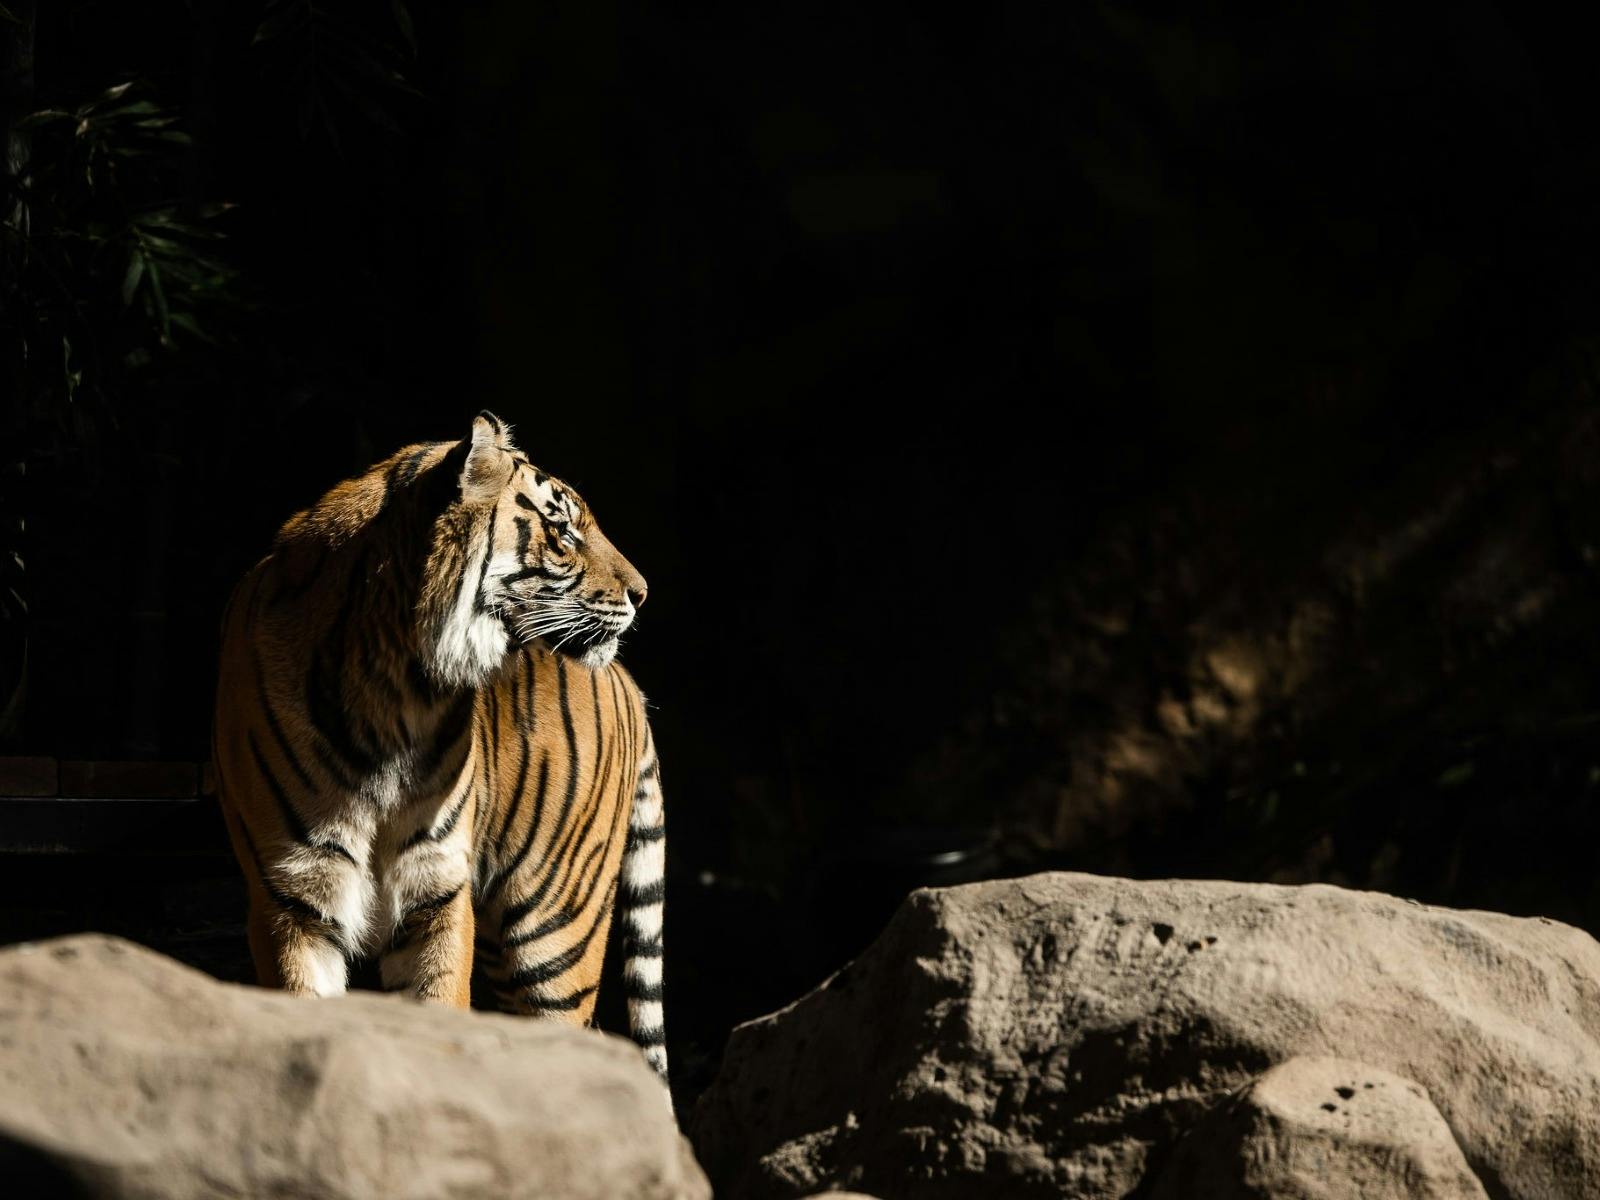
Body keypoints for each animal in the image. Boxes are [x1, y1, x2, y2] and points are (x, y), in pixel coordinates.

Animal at [211, 411, 670, 1091]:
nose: (642, 594)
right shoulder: (291, 899)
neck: (396, 688)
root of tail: (629, 682)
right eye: (561, 530)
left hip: (557, 929)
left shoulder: (436, 893)